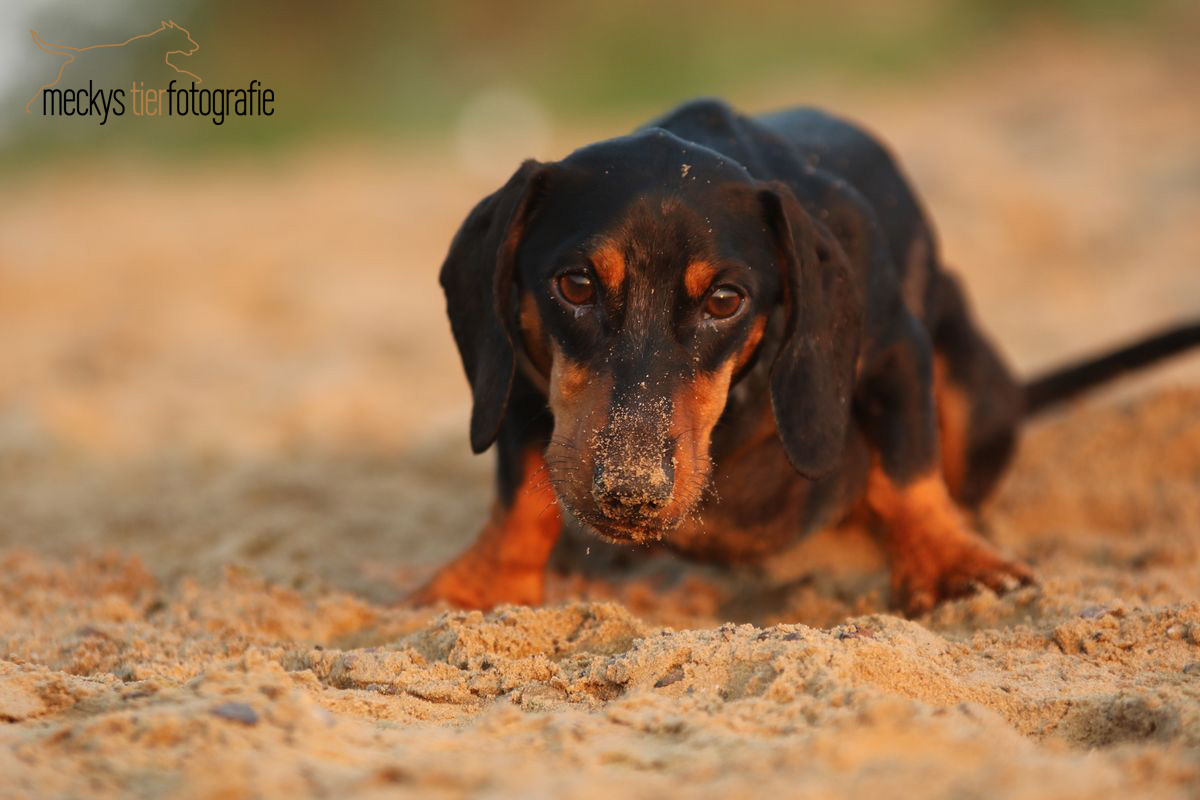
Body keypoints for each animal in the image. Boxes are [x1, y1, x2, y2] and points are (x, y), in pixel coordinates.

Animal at [415, 98, 1200, 614]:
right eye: (575, 284)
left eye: (725, 300)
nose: (630, 492)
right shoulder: (522, 378)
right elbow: (522, 490)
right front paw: (485, 583)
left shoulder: (896, 347)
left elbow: (911, 469)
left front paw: (953, 563)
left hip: (968, 383)